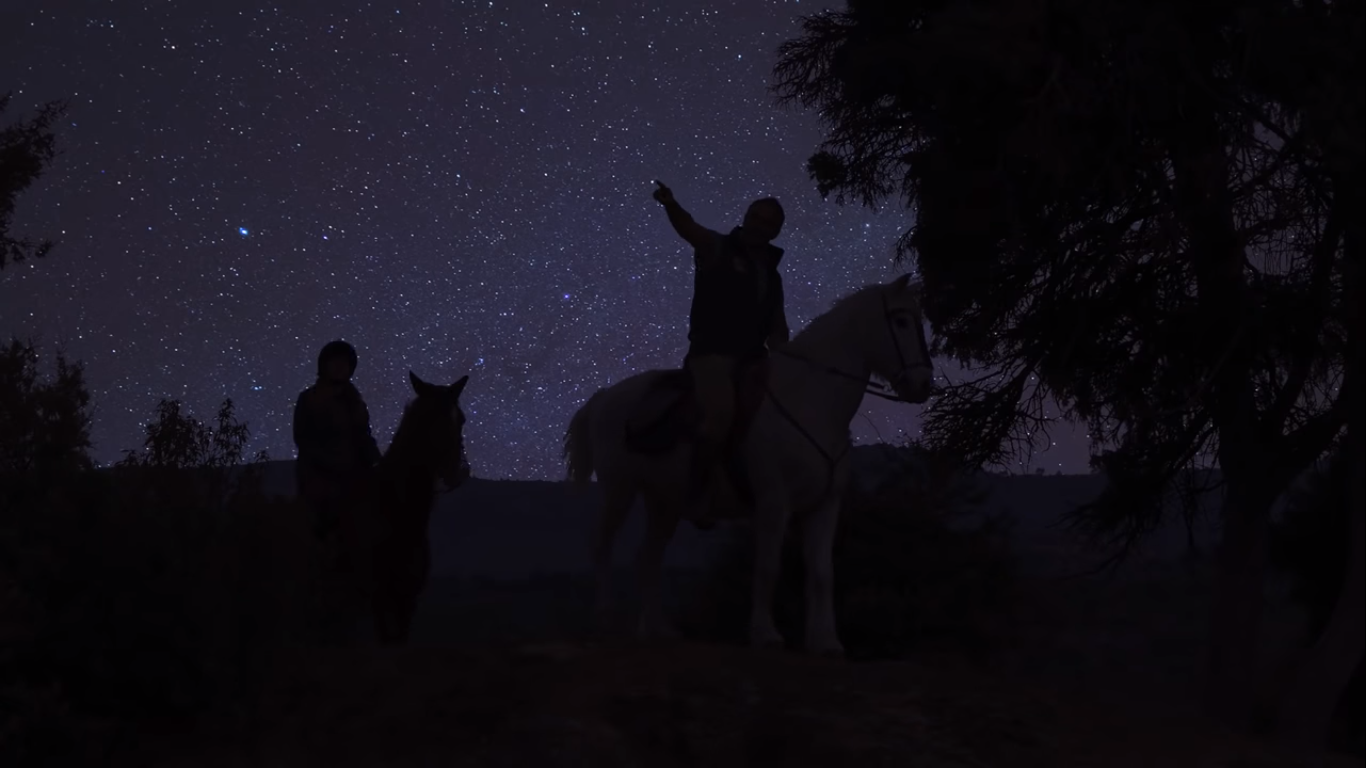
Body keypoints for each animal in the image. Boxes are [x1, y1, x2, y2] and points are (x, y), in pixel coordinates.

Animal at [560, 271, 934, 655]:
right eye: (902, 321)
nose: (923, 384)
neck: (811, 399)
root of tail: (604, 398)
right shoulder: (774, 503)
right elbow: (767, 567)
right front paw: (765, 634)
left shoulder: (824, 506)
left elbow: (822, 573)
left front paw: (826, 641)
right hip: (619, 490)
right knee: (603, 546)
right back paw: (605, 620)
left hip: (663, 502)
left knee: (648, 557)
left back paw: (657, 629)